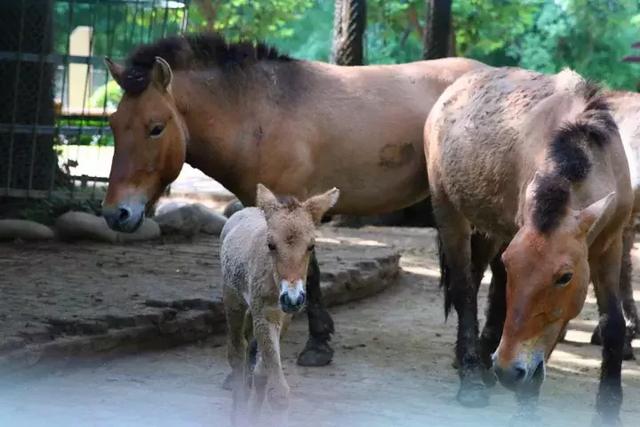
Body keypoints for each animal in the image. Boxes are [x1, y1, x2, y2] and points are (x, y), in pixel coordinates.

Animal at [102, 33, 488, 368]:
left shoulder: (293, 202)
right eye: (114, 124)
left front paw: (313, 345)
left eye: (156, 127)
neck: (260, 112)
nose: (115, 213)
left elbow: (307, 270)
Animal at [221, 184, 340, 424]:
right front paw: (245, 416)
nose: (292, 298)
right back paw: (237, 409)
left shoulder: (284, 317)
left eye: (311, 245)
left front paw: (254, 416)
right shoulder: (264, 314)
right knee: (236, 351)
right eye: (271, 245)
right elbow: (278, 393)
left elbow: (263, 373)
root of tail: (245, 209)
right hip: (233, 298)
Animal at [428, 67, 632, 424]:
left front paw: (608, 411)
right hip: (450, 215)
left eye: (564, 277)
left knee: (476, 281)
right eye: (513, 266)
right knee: (465, 292)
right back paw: (473, 378)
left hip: (490, 232)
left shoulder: (609, 245)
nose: (509, 371)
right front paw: (525, 407)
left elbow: (613, 325)